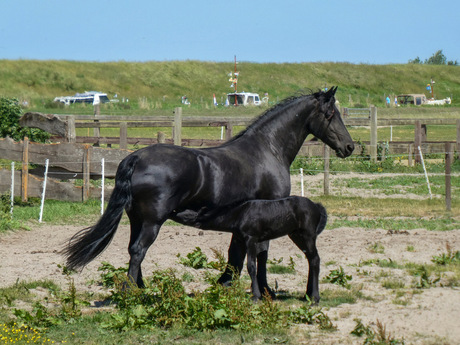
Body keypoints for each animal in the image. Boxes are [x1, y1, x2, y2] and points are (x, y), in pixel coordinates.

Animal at [183, 196, 328, 300]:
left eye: (189, 212)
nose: (178, 211)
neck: (240, 214)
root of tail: (316, 206)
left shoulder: (251, 240)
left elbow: (251, 266)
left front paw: (256, 296)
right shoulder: (240, 241)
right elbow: (237, 264)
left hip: (308, 236)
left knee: (315, 259)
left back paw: (314, 298)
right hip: (296, 236)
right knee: (310, 260)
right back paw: (307, 295)